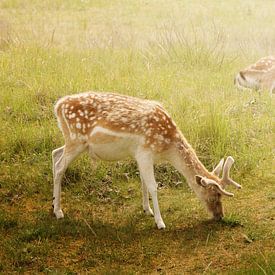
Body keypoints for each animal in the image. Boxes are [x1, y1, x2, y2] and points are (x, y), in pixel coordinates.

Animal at [52, 92, 243, 229]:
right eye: (215, 195)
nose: (220, 216)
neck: (167, 148)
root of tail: (57, 106)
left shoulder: (140, 155)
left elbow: (143, 182)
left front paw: (147, 209)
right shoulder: (145, 151)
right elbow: (153, 186)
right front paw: (160, 222)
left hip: (73, 142)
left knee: (55, 154)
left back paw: (53, 203)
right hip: (76, 139)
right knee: (60, 167)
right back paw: (58, 211)